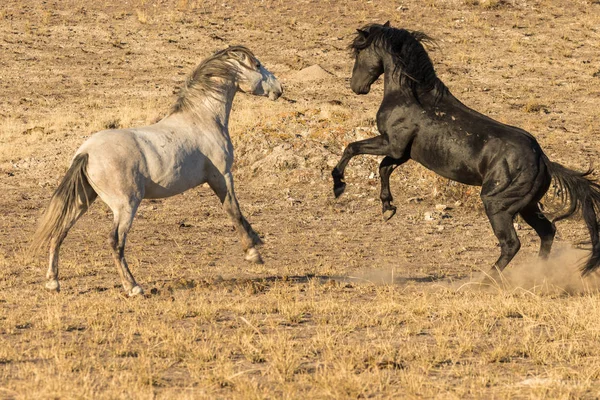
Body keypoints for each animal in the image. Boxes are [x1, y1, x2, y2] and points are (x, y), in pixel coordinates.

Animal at [32, 47, 284, 296]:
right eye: (258, 65)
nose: (279, 89)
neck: (202, 120)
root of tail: (86, 153)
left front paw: (257, 242)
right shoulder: (221, 176)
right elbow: (233, 209)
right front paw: (253, 253)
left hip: (83, 200)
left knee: (60, 231)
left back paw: (53, 282)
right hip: (125, 205)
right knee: (115, 241)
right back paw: (133, 287)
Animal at [330, 23, 600, 276]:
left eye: (358, 50)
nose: (356, 87)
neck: (411, 96)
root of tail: (544, 160)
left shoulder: (392, 144)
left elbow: (352, 148)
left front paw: (339, 186)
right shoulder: (402, 153)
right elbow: (383, 169)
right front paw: (388, 208)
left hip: (498, 205)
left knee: (512, 244)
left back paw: (486, 280)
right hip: (527, 205)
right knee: (547, 232)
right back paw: (538, 272)